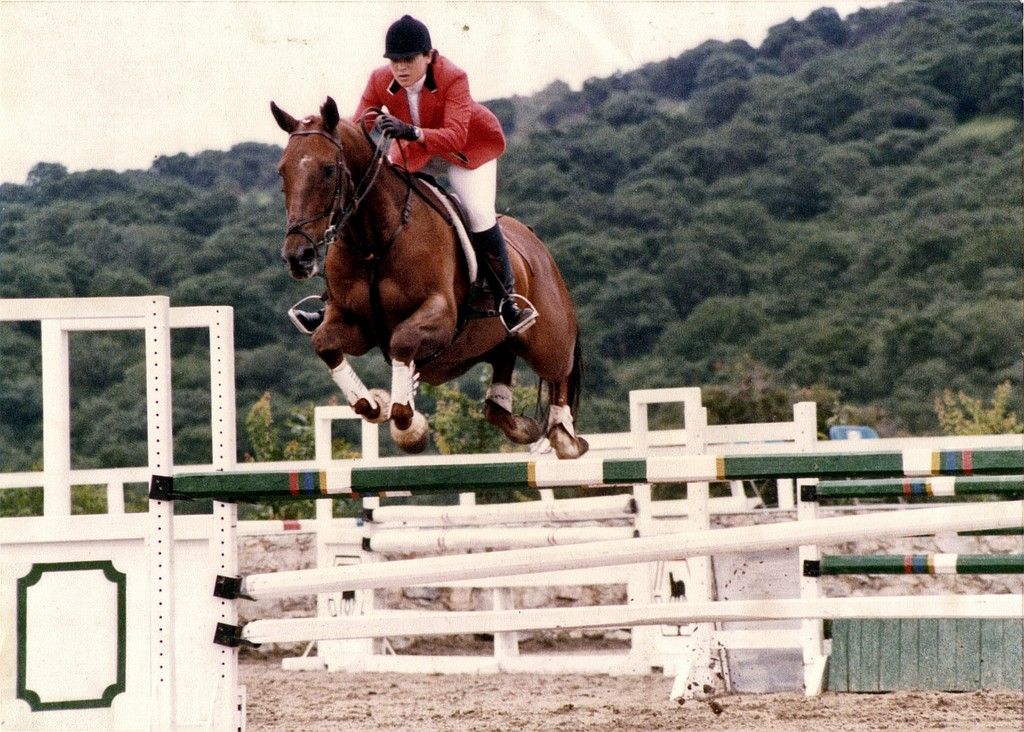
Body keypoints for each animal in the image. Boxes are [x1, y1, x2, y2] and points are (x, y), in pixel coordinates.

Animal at [272, 95, 589, 458]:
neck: (375, 244)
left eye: (327, 169)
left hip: (546, 340)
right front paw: (375, 404)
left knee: (560, 369)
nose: (298, 257)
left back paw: (564, 435)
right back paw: (519, 424)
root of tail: (537, 244)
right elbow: (324, 343)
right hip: (493, 342)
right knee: (501, 371)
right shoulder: (356, 323)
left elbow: (402, 342)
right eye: (282, 172)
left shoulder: (440, 316)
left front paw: (409, 425)